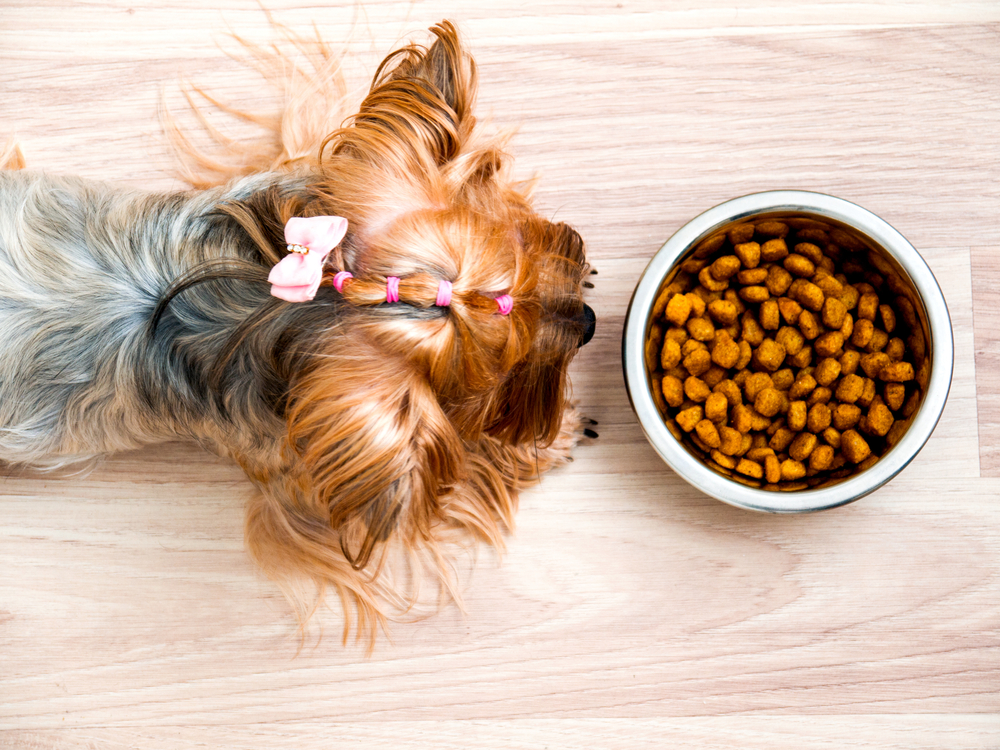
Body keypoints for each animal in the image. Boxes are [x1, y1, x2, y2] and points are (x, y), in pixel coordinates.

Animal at [0, 22, 592, 648]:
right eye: (505, 386)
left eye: (524, 245)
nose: (589, 322)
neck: (267, 311)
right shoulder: (302, 476)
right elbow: (451, 474)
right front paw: (547, 440)